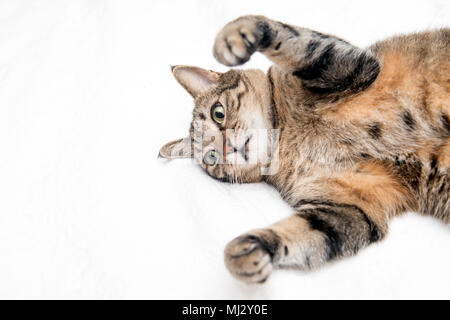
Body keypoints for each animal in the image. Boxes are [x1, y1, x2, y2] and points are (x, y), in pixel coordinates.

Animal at [160, 16, 448, 284]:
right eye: (211, 157)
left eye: (218, 113)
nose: (227, 147)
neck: (287, 142)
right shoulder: (351, 205)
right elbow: (304, 232)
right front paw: (254, 248)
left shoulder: (356, 66)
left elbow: (298, 42)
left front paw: (240, 31)